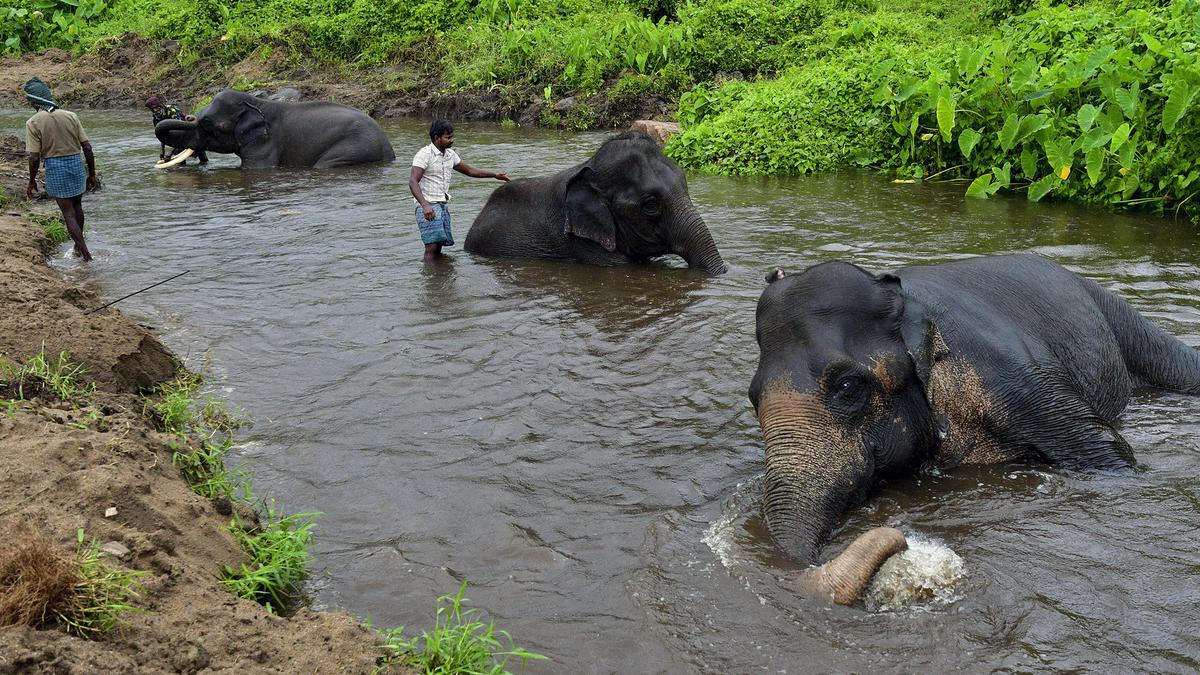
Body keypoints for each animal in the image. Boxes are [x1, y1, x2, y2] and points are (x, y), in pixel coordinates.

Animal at [748, 254, 1200, 600]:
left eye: (846, 387)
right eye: (753, 398)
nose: (902, 538)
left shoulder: (1018, 379)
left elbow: (1112, 454)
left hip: (1120, 317)